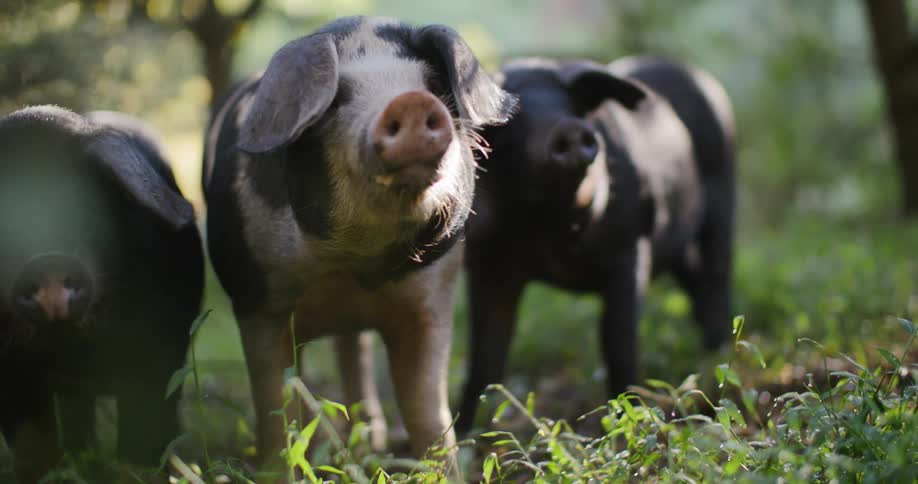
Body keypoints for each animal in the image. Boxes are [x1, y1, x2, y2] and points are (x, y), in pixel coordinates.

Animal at [201, 15, 516, 473]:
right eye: (337, 100)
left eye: (432, 85)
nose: (409, 102)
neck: (355, 268)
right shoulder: (257, 302)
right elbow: (275, 406)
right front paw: (277, 469)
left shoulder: (433, 300)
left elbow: (427, 411)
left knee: (355, 351)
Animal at [456, 56, 736, 432]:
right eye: (512, 118)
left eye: (572, 104)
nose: (569, 128)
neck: (551, 232)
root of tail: (698, 74)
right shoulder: (487, 264)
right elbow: (485, 357)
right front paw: (464, 435)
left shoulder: (630, 246)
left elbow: (618, 342)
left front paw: (631, 421)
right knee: (695, 278)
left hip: (724, 184)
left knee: (719, 272)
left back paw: (720, 354)